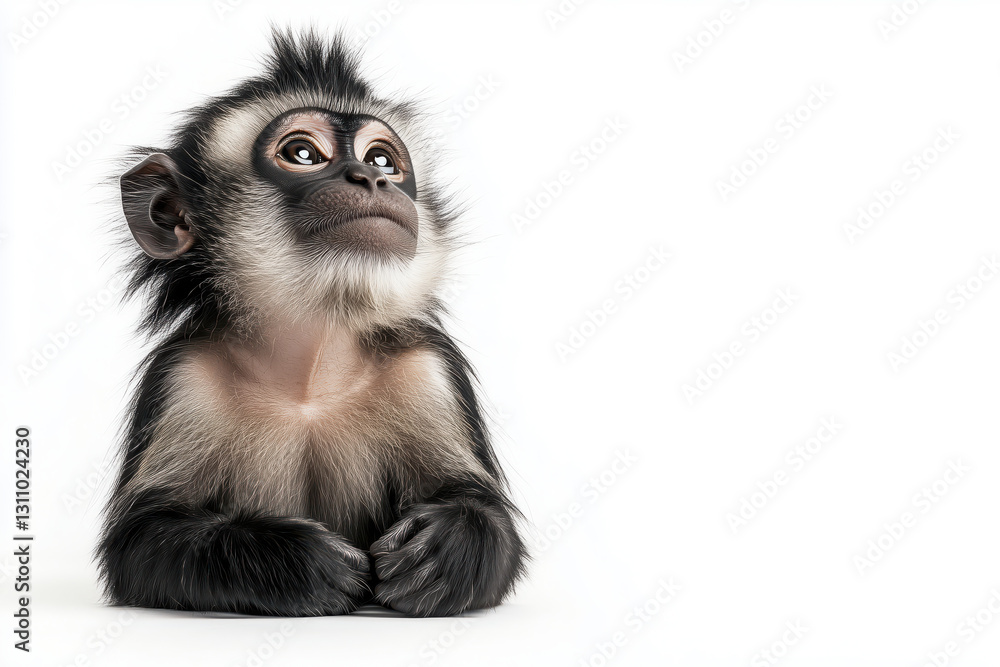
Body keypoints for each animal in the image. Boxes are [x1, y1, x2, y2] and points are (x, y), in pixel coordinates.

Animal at [96, 28, 527, 618]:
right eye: (302, 153)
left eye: (383, 159)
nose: (372, 177)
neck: (311, 374)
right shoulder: (183, 376)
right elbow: (139, 541)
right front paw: (295, 562)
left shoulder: (429, 368)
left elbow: (490, 522)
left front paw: (446, 548)